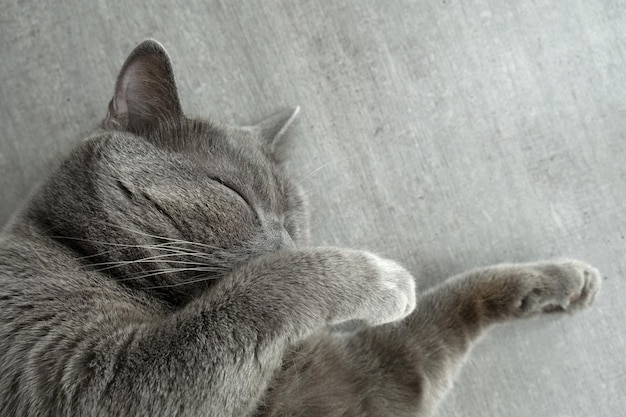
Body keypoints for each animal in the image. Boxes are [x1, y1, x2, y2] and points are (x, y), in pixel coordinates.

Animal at [0, 39, 600, 416]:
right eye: (234, 194)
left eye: (295, 216)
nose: (285, 241)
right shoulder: (81, 380)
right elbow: (258, 293)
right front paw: (385, 281)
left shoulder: (367, 381)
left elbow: (449, 306)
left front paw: (561, 280)